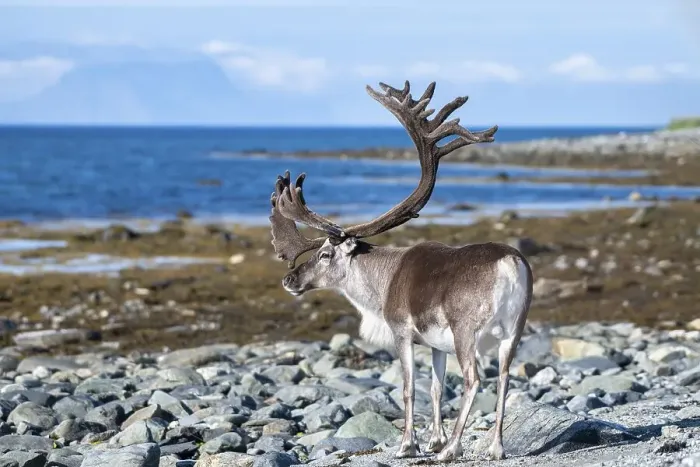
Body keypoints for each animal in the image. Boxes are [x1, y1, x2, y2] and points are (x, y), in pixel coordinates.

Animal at [268, 80, 533, 462]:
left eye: (325, 253)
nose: (289, 279)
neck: (381, 284)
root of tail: (510, 264)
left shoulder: (401, 330)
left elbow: (409, 387)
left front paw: (409, 445)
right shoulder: (437, 344)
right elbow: (437, 387)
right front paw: (434, 438)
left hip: (466, 328)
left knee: (474, 379)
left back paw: (452, 450)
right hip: (514, 329)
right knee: (505, 376)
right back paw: (495, 447)